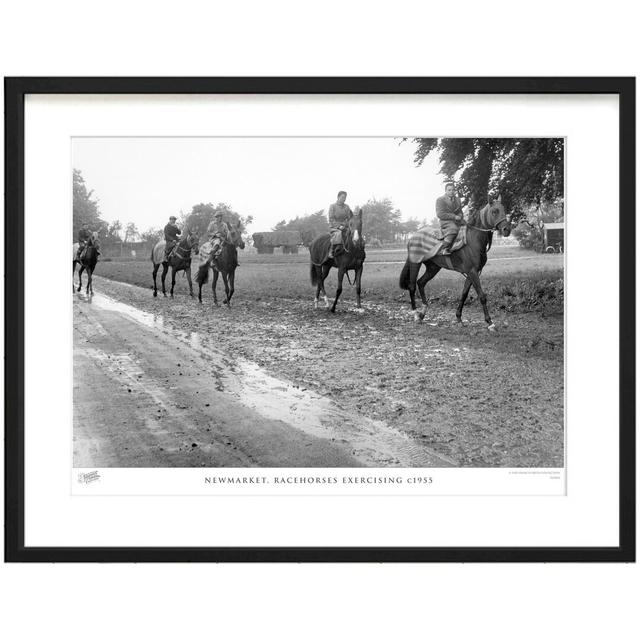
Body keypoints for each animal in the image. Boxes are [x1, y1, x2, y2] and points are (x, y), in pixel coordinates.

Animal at [398, 196, 512, 330]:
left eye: (504, 210)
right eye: (494, 211)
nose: (507, 229)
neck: (473, 240)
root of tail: (413, 237)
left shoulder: (472, 272)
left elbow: (464, 294)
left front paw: (459, 318)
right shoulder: (472, 272)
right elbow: (482, 296)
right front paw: (490, 322)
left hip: (433, 268)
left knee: (421, 283)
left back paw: (423, 313)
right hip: (415, 263)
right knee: (412, 286)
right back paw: (416, 314)